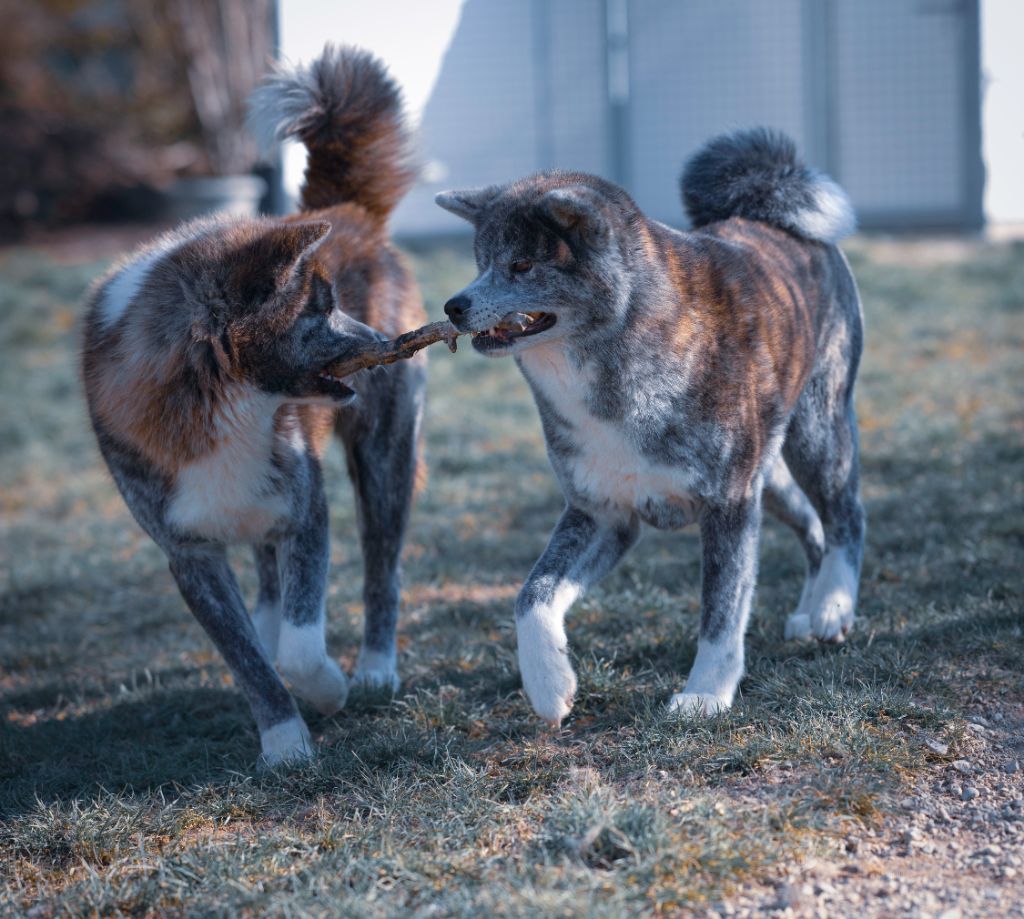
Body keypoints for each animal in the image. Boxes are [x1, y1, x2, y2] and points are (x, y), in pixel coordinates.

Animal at [80, 46, 428, 762]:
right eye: (320, 310)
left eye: (336, 299)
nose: (390, 344)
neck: (223, 405)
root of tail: (347, 209)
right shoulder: (189, 555)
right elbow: (246, 660)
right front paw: (285, 744)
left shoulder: (307, 512)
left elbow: (300, 643)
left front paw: (327, 691)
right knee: (268, 583)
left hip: (385, 456)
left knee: (381, 568)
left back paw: (375, 671)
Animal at [432, 127, 864, 725]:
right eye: (480, 261)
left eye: (521, 265)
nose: (453, 306)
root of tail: (776, 214)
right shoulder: (602, 513)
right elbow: (531, 595)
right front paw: (549, 684)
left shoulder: (729, 505)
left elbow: (721, 610)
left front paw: (706, 694)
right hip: (769, 475)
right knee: (812, 524)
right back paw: (810, 607)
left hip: (815, 433)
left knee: (845, 514)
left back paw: (833, 607)